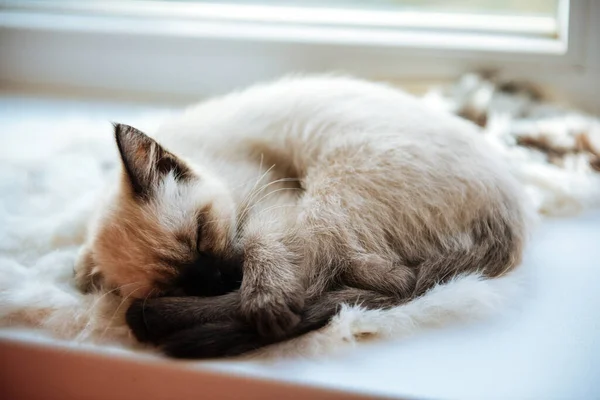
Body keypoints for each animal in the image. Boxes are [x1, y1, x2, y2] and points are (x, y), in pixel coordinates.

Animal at [74, 76, 528, 358]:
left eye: (202, 235)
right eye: (179, 284)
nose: (220, 279)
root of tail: (511, 221)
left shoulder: (273, 203)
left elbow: (260, 248)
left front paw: (266, 302)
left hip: (328, 194)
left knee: (373, 283)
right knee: (383, 283)